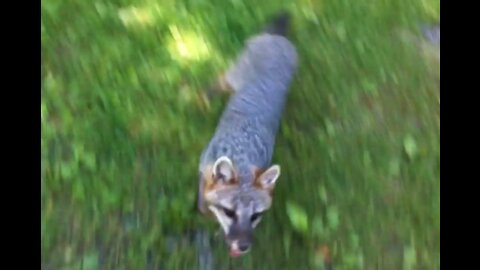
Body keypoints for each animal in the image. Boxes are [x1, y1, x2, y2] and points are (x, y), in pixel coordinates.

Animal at [198, 12, 296, 258]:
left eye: (255, 217)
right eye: (229, 212)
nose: (243, 246)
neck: (243, 157)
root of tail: (276, 39)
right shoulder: (202, 167)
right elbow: (203, 199)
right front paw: (204, 209)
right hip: (233, 76)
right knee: (220, 79)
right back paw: (204, 96)